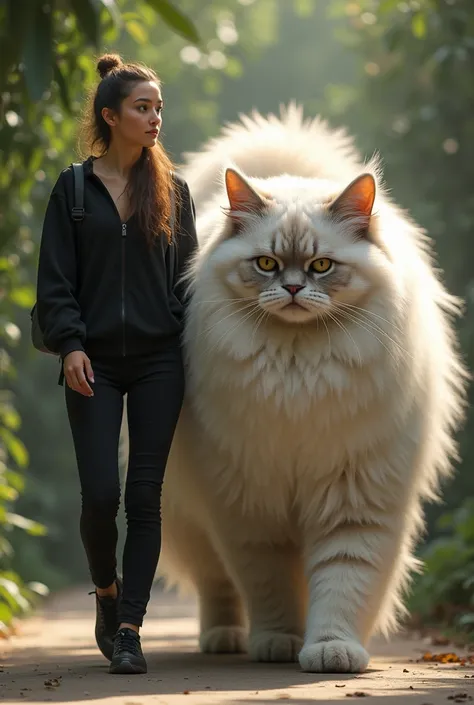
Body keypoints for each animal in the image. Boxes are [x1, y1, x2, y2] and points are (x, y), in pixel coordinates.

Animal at [158, 103, 466, 672]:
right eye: (266, 263)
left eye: (322, 265)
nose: (295, 288)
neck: (298, 370)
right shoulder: (251, 509)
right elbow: (269, 588)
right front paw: (279, 643)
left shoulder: (356, 499)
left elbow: (343, 583)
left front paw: (329, 650)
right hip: (191, 518)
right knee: (217, 586)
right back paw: (225, 639)